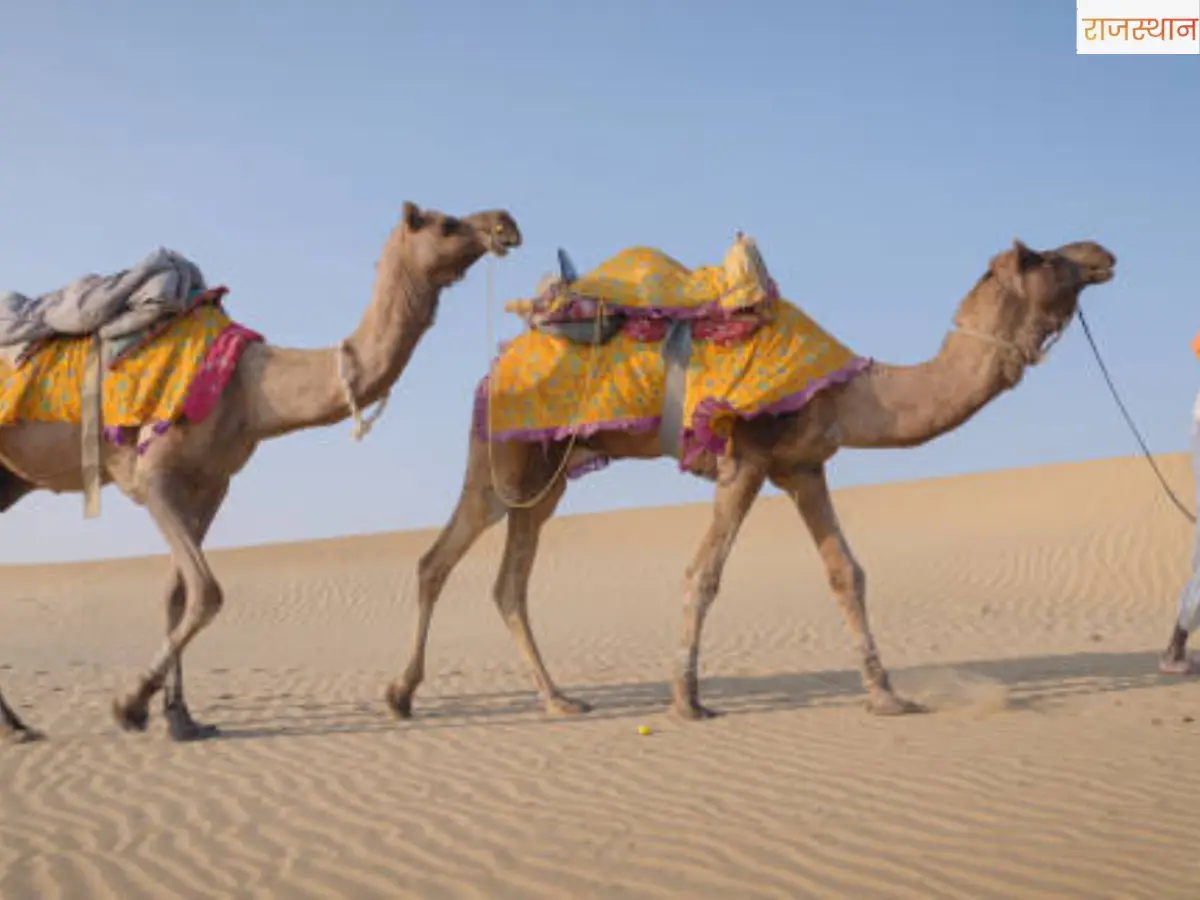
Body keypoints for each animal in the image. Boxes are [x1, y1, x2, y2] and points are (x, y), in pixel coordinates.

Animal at [0, 201, 522, 743]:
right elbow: (206, 592)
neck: (250, 391)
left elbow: (177, 593)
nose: (504, 223)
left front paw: (181, 718)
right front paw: (130, 705)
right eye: (445, 223)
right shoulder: (154, 475)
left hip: (10, 478)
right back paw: (18, 726)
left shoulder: (211, 483)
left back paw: (16, 726)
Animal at [386, 237, 1116, 722]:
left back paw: (555, 699)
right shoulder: (747, 459)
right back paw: (403, 696)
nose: (1100, 252)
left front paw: (886, 694)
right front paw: (686, 700)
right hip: (504, 462)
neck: (852, 391)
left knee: (505, 580)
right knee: (441, 560)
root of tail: (498, 364)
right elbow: (704, 574)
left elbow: (846, 572)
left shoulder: (803, 466)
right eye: (1044, 257)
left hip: (548, 473)